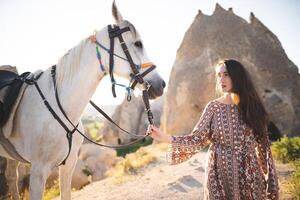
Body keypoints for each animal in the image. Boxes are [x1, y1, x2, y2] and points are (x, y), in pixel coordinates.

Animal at [0, 1, 165, 200]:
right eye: (138, 43)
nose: (161, 84)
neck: (62, 105)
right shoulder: (38, 172)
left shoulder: (68, 165)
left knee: (11, 177)